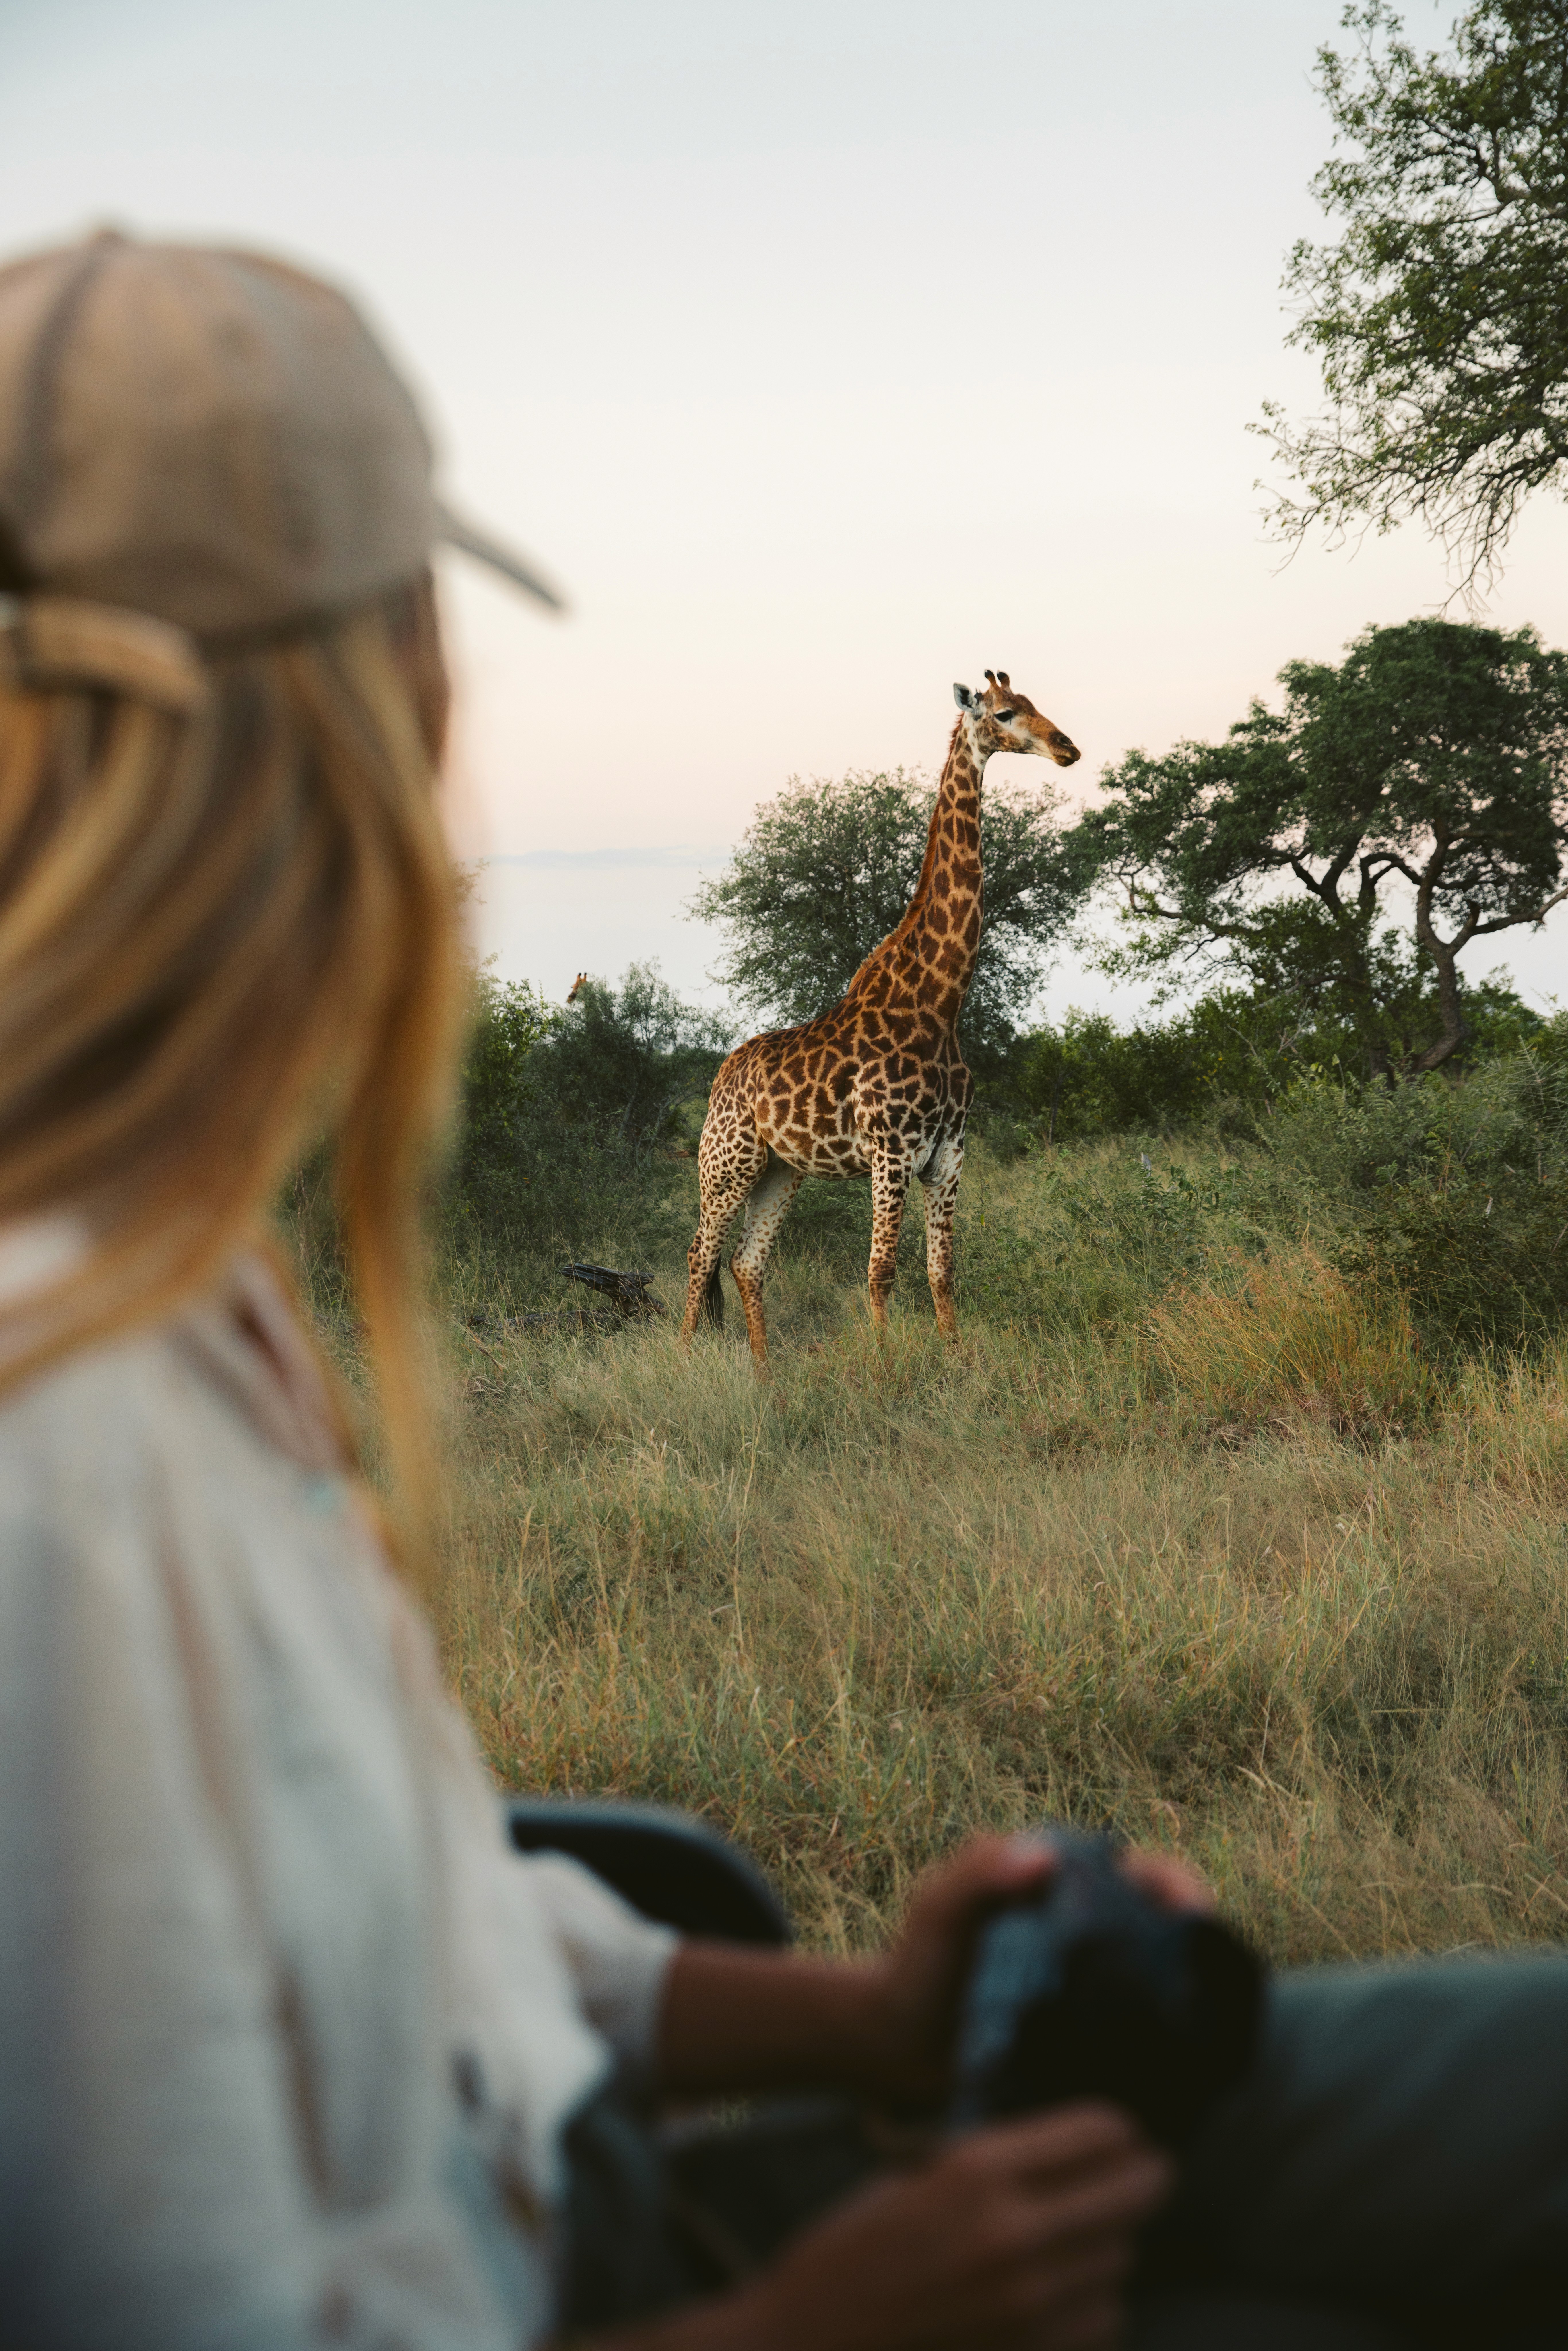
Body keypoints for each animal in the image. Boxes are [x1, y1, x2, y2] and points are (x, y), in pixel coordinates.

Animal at [682, 670, 1080, 1369]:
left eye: (1036, 706)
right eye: (1005, 713)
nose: (1067, 748)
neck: (940, 1004)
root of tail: (721, 1076)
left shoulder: (948, 1154)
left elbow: (940, 1271)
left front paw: (955, 1364)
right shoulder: (890, 1152)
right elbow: (880, 1272)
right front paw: (887, 1369)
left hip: (781, 1170)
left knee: (746, 1263)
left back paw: (765, 1374)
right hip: (727, 1164)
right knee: (697, 1255)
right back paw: (678, 1360)